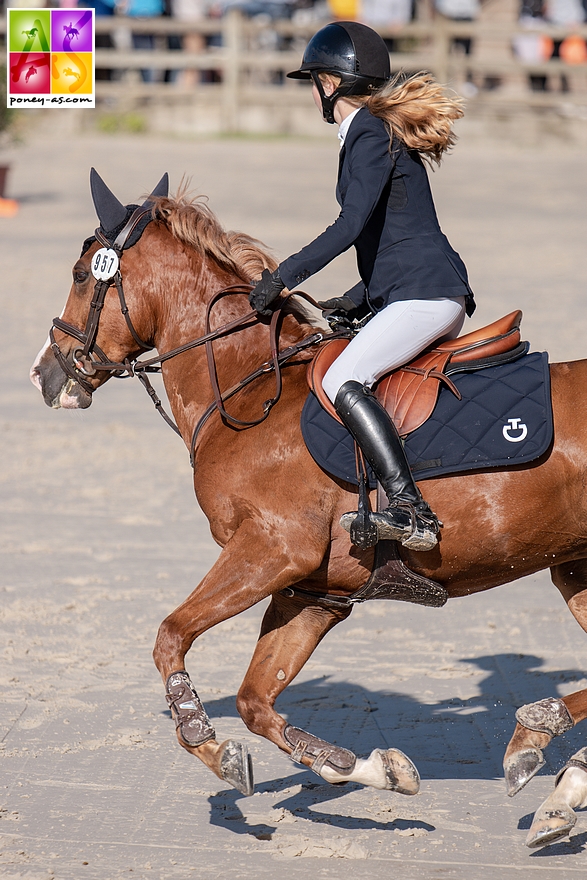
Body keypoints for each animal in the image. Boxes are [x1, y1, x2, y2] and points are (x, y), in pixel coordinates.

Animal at [31, 177, 587, 844]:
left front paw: (208, 742)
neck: (246, 388)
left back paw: (542, 740)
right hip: (576, 568)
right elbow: (255, 700)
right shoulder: (313, 590)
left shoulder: (272, 549)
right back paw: (549, 763)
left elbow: (170, 636)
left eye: (81, 274)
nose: (44, 374)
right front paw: (370, 768)